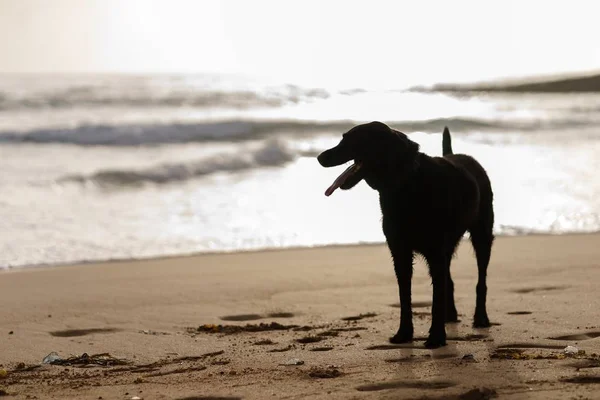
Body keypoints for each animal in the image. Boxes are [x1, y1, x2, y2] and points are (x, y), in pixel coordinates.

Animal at [318, 122, 492, 346]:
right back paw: (450, 316)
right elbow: (404, 295)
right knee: (449, 280)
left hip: (482, 234)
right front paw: (404, 334)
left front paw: (436, 337)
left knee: (481, 279)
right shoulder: (400, 251)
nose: (320, 157)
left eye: (350, 140)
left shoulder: (435, 251)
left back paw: (481, 318)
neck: (404, 183)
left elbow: (435, 297)